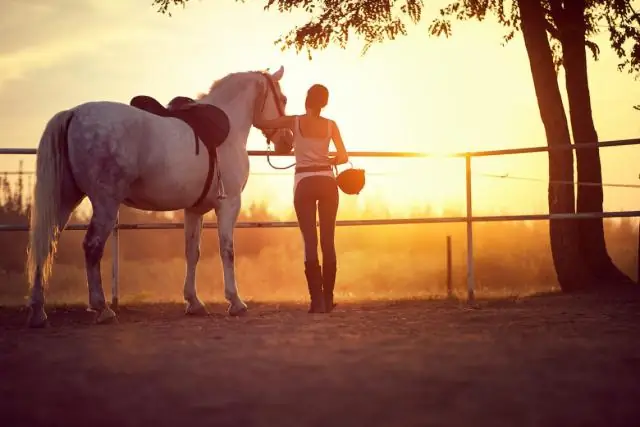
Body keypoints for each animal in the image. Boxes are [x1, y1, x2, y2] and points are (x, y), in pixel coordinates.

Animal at [25, 66, 290, 328]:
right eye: (284, 99)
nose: (286, 142)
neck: (227, 128)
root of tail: (73, 114)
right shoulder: (229, 204)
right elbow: (227, 250)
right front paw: (235, 302)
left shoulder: (194, 210)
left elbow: (192, 252)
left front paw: (194, 302)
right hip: (105, 203)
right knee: (92, 247)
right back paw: (102, 309)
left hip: (65, 200)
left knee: (45, 244)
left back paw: (38, 312)